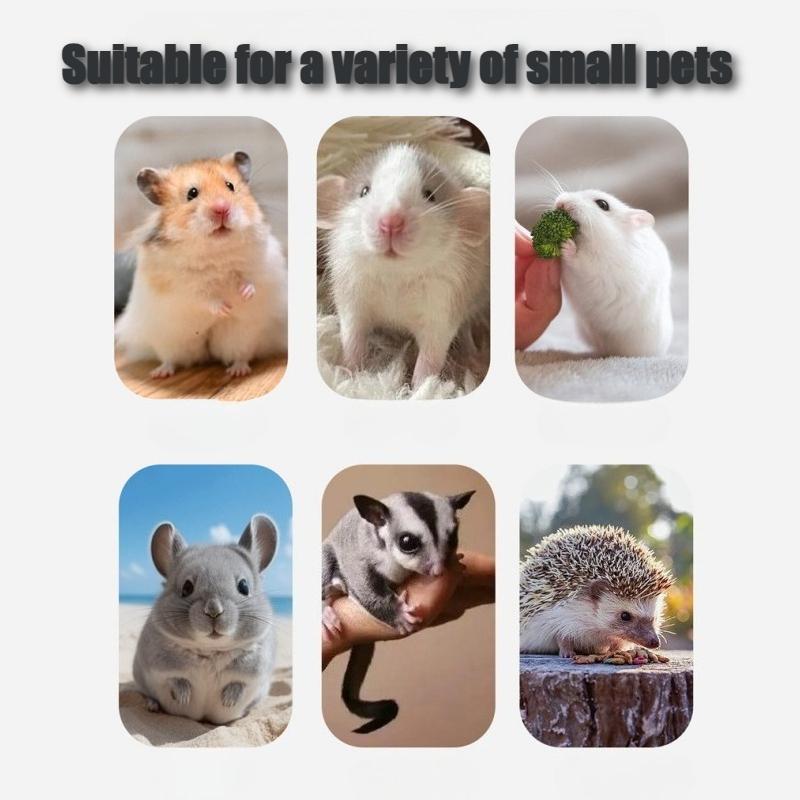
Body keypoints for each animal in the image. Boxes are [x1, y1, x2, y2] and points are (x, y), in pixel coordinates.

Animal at [115, 151, 287, 378]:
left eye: (230, 186)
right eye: (192, 193)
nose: (222, 209)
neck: (216, 250)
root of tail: (207, 351)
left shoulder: (262, 265)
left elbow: (251, 280)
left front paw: (244, 295)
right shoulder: (181, 287)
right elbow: (203, 297)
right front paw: (224, 308)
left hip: (242, 335)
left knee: (241, 354)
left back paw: (237, 371)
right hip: (169, 340)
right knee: (171, 358)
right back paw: (160, 373)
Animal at [133, 514, 279, 725]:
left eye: (244, 586)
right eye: (186, 587)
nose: (214, 610)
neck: (211, 650)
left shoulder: (255, 673)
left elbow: (239, 684)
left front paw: (229, 701)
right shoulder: (160, 669)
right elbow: (176, 680)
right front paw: (184, 698)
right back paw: (152, 706)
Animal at [318, 143, 490, 388]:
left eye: (430, 195)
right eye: (364, 191)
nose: (391, 222)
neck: (395, 275)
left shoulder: (443, 297)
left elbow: (433, 349)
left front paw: (420, 388)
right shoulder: (353, 288)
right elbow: (352, 333)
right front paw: (349, 373)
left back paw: (469, 352)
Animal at [322, 490, 475, 733]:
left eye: (453, 538)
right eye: (407, 542)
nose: (438, 571)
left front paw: (457, 563)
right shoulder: (360, 554)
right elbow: (362, 582)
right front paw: (398, 616)